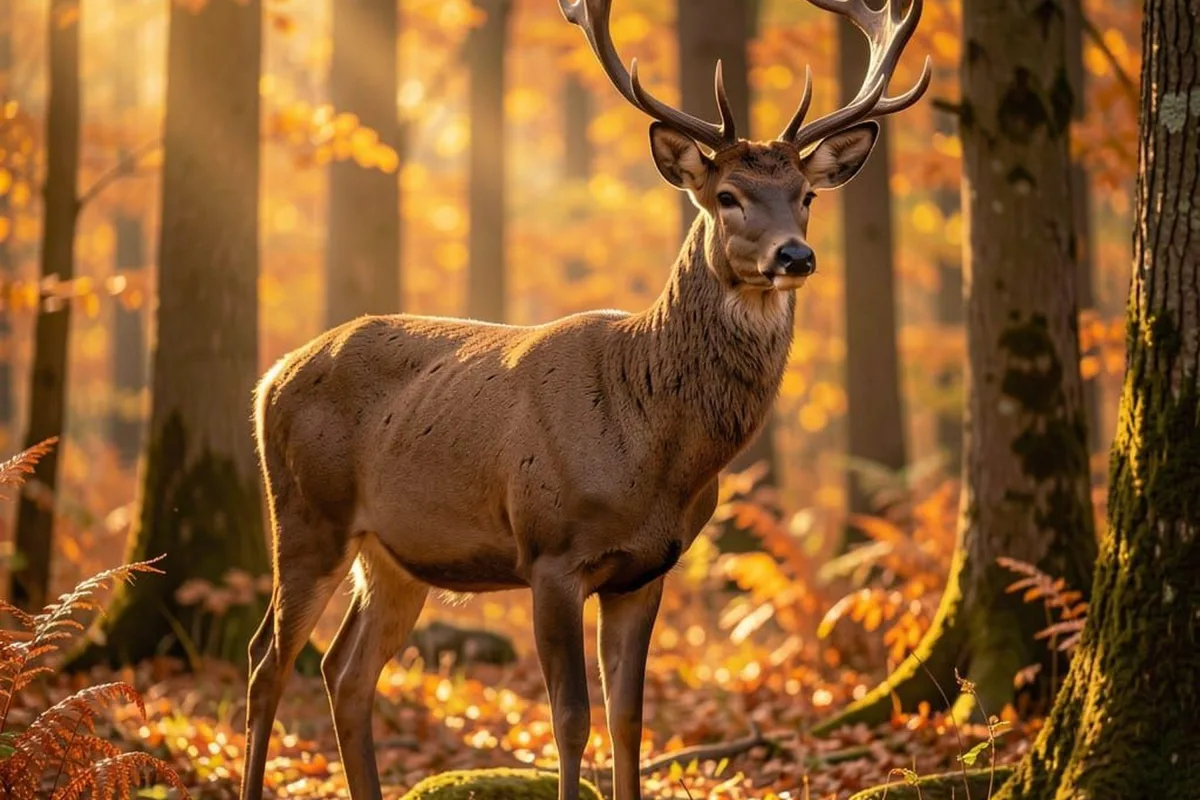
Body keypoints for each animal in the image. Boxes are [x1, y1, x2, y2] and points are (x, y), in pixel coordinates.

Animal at [239, 1, 929, 798]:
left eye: (807, 196)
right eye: (727, 197)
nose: (796, 256)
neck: (652, 450)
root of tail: (270, 378)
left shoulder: (647, 569)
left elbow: (628, 719)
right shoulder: (550, 552)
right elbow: (569, 718)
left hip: (392, 555)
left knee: (343, 671)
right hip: (305, 515)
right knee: (266, 662)